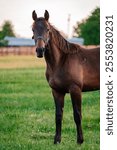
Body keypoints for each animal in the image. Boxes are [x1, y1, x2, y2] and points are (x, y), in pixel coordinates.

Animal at [31, 9, 99, 144]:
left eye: (47, 29)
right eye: (33, 29)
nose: (40, 50)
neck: (61, 61)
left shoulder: (75, 90)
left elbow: (77, 115)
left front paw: (80, 140)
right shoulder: (57, 91)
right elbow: (58, 115)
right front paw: (57, 140)